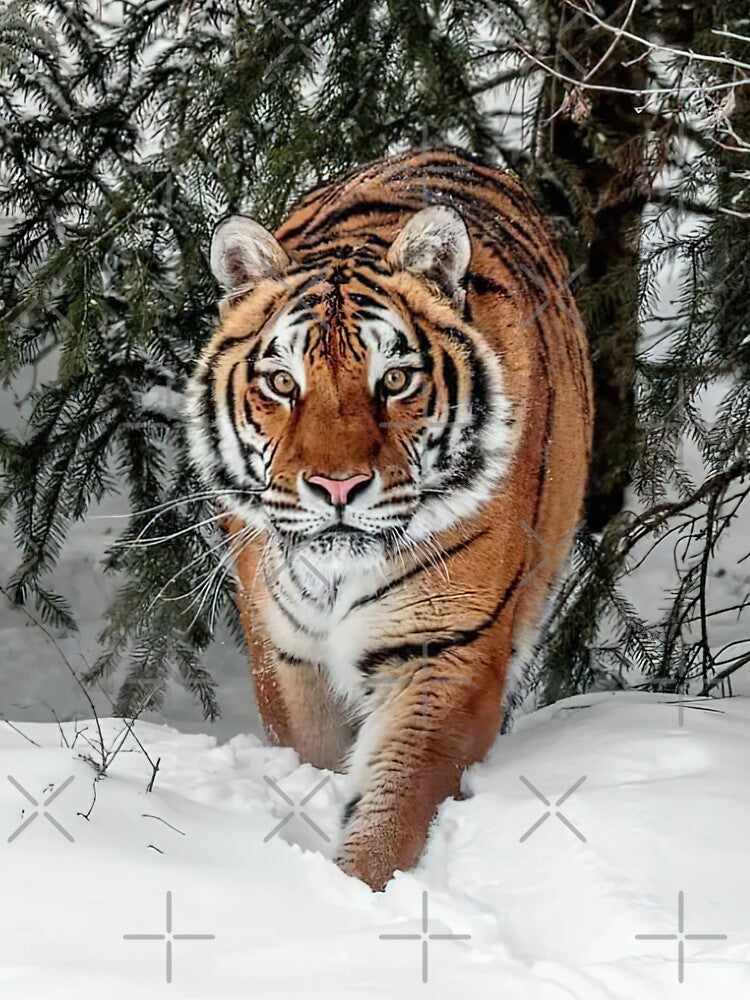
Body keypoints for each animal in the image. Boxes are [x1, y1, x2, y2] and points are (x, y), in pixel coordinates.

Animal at [186, 147, 593, 891]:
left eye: (395, 380)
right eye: (282, 384)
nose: (337, 487)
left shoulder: (444, 652)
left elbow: (395, 804)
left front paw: (358, 894)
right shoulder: (287, 653)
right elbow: (314, 753)